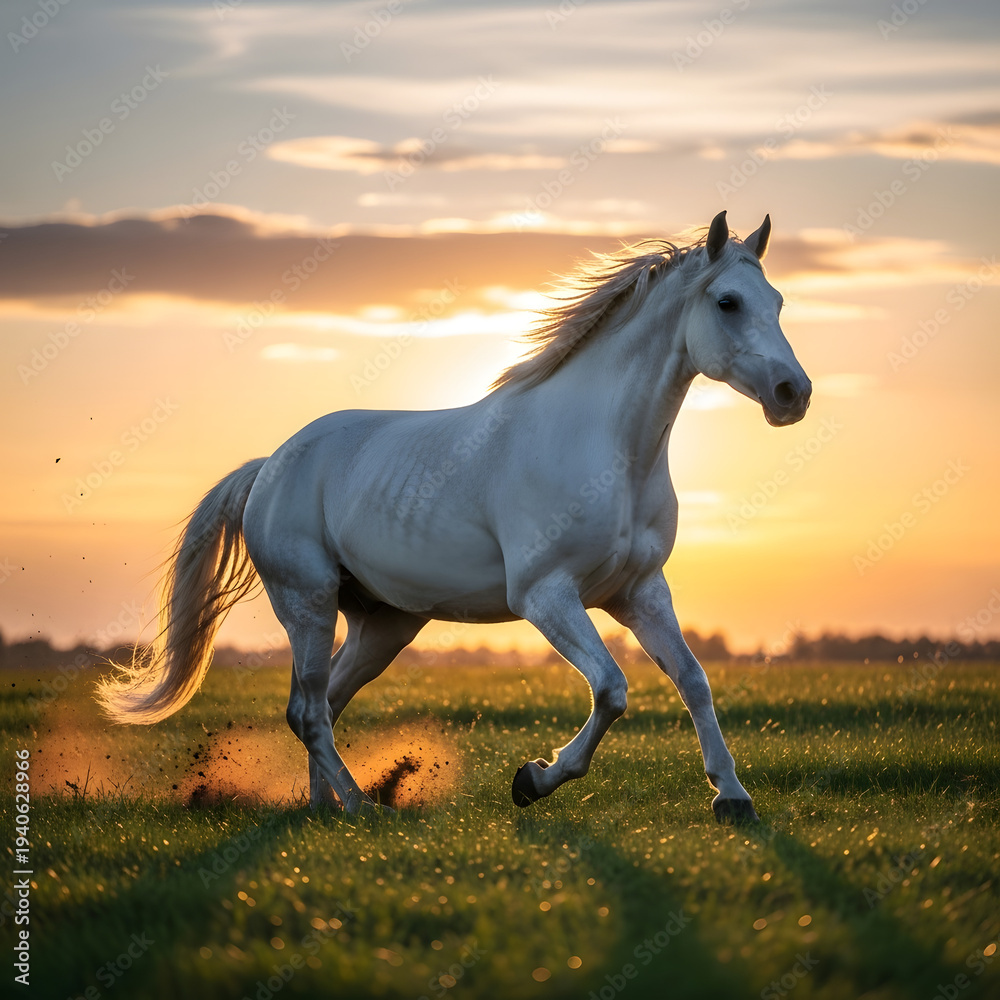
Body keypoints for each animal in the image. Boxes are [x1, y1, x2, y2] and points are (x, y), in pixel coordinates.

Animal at [98, 210, 811, 823]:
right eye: (727, 302)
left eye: (777, 302)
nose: (793, 394)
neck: (606, 450)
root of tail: (269, 466)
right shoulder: (545, 594)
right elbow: (611, 688)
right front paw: (532, 780)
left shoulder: (638, 591)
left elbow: (693, 680)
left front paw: (732, 798)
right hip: (308, 601)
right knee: (309, 711)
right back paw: (361, 807)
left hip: (384, 625)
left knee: (319, 705)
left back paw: (323, 808)